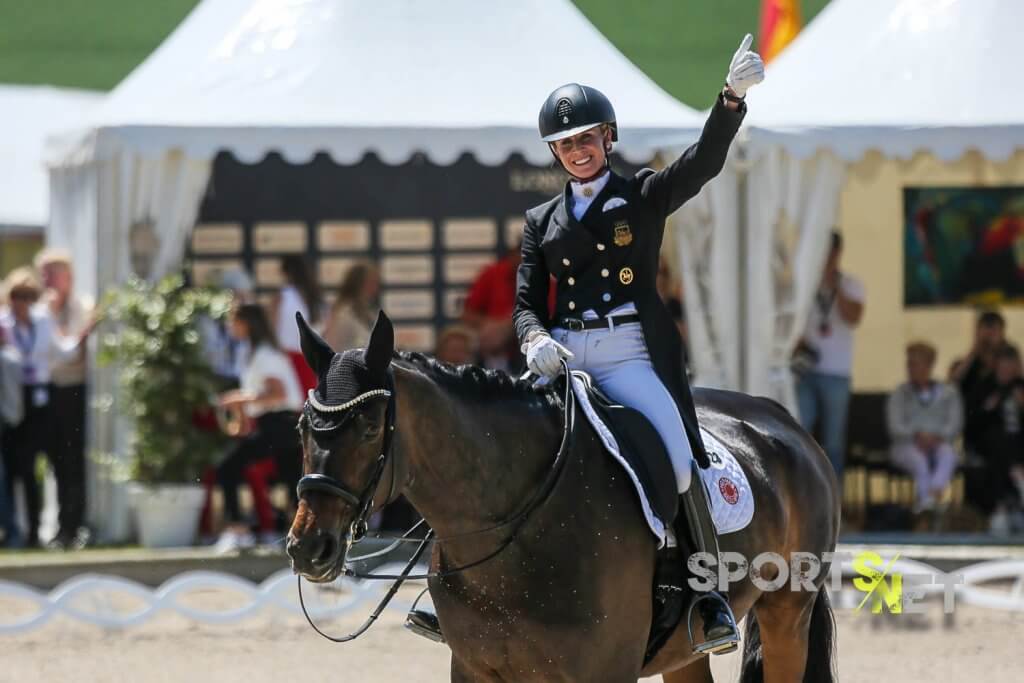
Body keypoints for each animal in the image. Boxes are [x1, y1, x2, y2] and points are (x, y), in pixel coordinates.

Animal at [286, 311, 839, 683]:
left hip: (788, 613)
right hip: (687, 648)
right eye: (301, 427)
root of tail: (783, 420)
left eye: (369, 427)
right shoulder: (475, 668)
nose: (308, 547)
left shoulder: (602, 669)